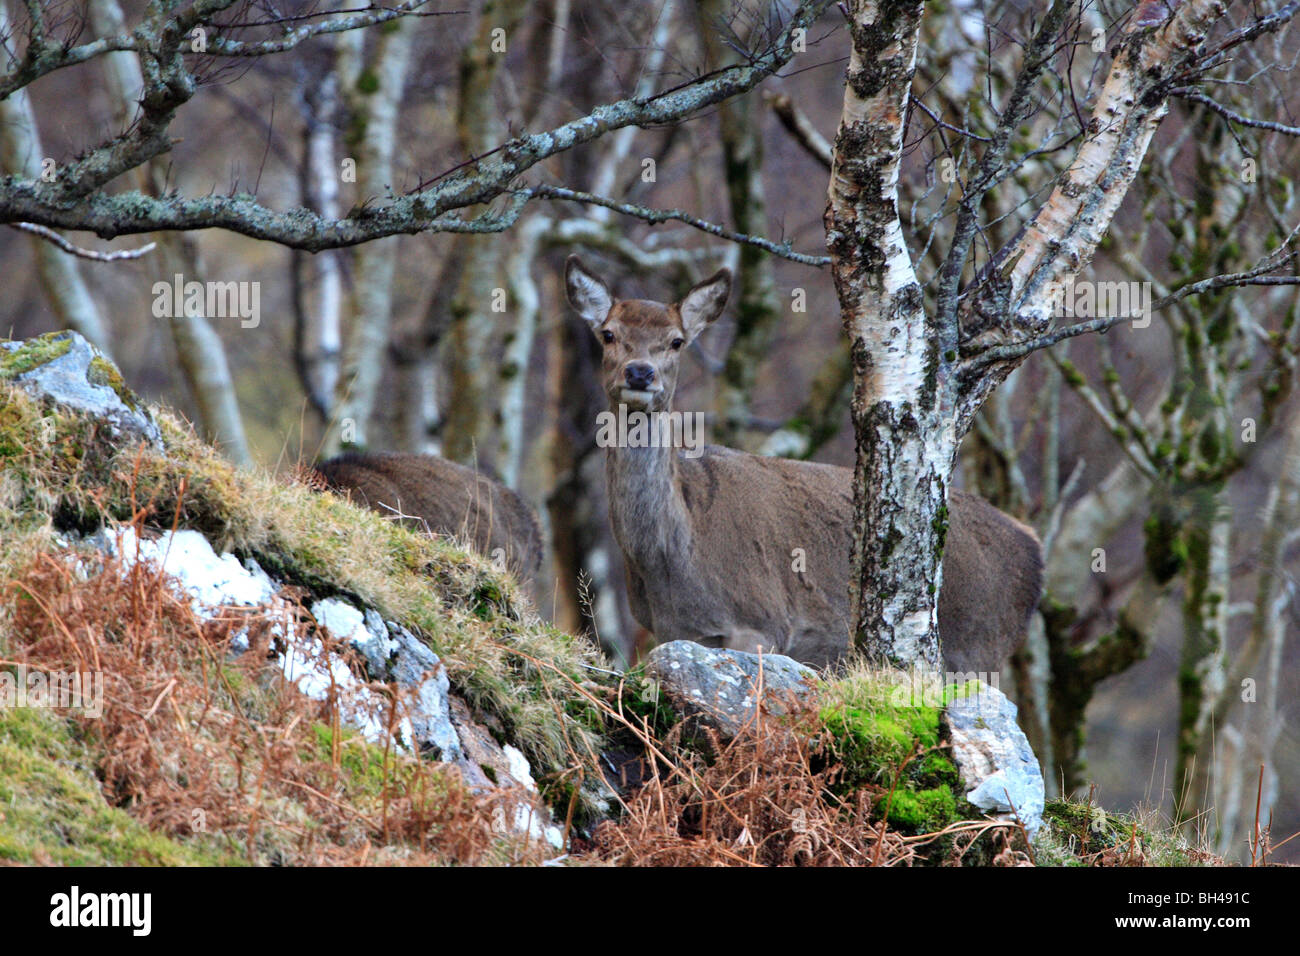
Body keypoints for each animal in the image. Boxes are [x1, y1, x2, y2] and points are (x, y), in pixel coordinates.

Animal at [564, 254, 1040, 671]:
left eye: (677, 341)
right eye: (608, 333)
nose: (639, 372)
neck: (673, 554)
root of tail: (1032, 544)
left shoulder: (761, 619)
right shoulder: (672, 631)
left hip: (978, 645)